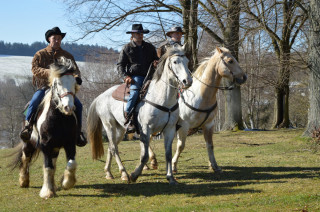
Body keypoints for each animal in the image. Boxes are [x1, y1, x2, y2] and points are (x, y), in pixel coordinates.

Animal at [11, 56, 80, 199]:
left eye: (74, 83)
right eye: (58, 84)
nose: (68, 107)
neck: (59, 119)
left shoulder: (69, 144)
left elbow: (71, 163)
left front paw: (66, 182)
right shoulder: (46, 145)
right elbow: (48, 167)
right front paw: (47, 192)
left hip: (55, 148)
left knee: (53, 163)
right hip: (28, 142)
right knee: (25, 158)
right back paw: (23, 181)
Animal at [86, 46, 192, 184]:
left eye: (187, 61)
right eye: (175, 62)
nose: (188, 81)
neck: (162, 98)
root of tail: (100, 96)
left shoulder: (169, 129)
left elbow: (168, 154)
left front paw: (170, 177)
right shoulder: (146, 129)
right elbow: (144, 155)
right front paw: (134, 174)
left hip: (120, 129)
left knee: (111, 146)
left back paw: (109, 172)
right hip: (109, 125)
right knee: (114, 148)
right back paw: (124, 173)